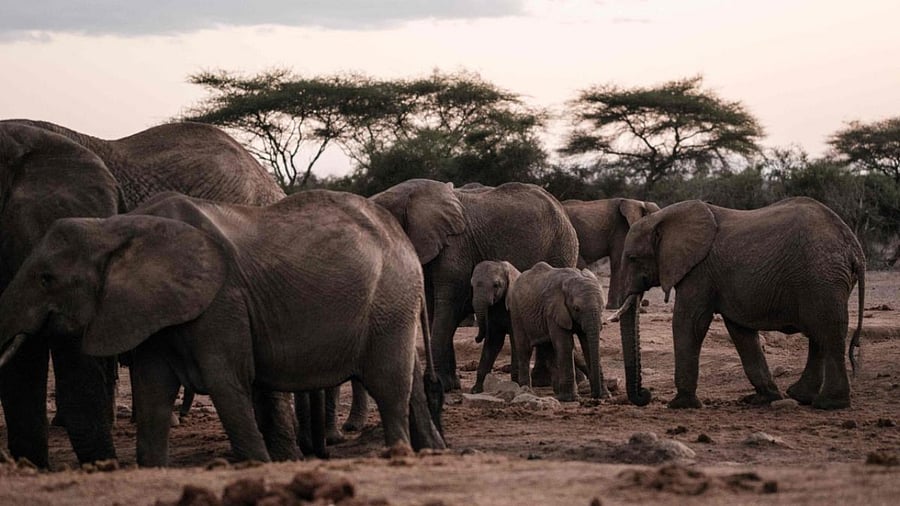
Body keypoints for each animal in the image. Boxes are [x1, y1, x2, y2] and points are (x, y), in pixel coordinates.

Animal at [0, 190, 445, 467]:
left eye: (46, 279)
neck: (115, 227)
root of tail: (401, 235)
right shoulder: (152, 311)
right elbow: (152, 393)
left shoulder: (222, 301)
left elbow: (228, 384)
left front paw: (260, 466)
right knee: (404, 384)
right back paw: (430, 453)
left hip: (390, 299)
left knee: (389, 385)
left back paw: (400, 455)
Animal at [371, 179, 579, 392]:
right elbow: (432, 306)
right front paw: (450, 384)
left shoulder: (455, 246)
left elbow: (447, 304)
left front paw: (440, 386)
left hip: (560, 248)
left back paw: (541, 382)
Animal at [507, 262, 608, 401]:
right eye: (576, 308)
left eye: (603, 308)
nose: (594, 397)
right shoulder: (553, 311)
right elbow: (565, 345)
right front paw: (571, 399)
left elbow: (587, 344)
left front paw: (605, 395)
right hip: (516, 312)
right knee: (525, 349)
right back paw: (526, 391)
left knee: (548, 348)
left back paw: (557, 393)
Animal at [613, 197, 866, 410]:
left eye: (633, 258)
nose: (645, 394)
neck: (663, 216)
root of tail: (854, 248)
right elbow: (741, 331)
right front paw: (764, 398)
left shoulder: (699, 271)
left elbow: (689, 323)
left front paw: (680, 404)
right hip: (824, 279)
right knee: (818, 335)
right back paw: (800, 396)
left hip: (822, 276)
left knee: (828, 331)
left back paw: (829, 404)